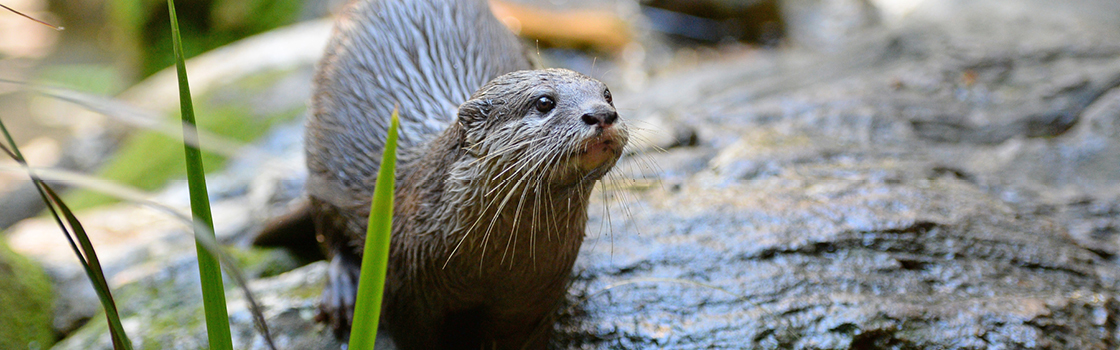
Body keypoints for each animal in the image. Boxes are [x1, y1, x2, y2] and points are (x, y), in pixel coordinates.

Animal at [256, 0, 631, 349]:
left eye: (608, 94)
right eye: (543, 102)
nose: (601, 114)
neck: (490, 268)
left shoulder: (534, 302)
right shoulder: (402, 291)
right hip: (318, 159)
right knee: (328, 230)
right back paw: (343, 288)